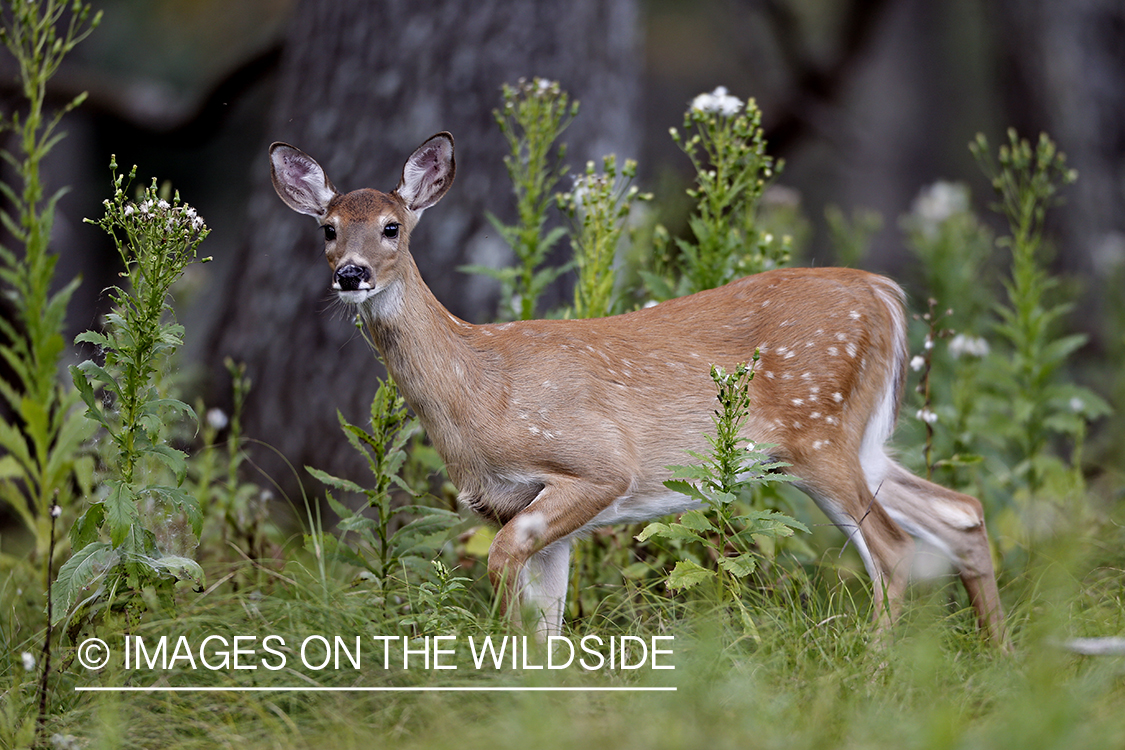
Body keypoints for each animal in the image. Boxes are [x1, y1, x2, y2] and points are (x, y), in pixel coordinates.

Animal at [269, 132, 1007, 646]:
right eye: (328, 229)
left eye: (392, 227)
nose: (352, 274)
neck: (479, 390)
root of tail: (883, 293)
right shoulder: (521, 506)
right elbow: (549, 619)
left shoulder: (597, 463)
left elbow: (505, 568)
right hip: (857, 440)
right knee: (961, 512)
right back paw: (998, 656)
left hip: (817, 429)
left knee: (895, 550)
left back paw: (871, 666)